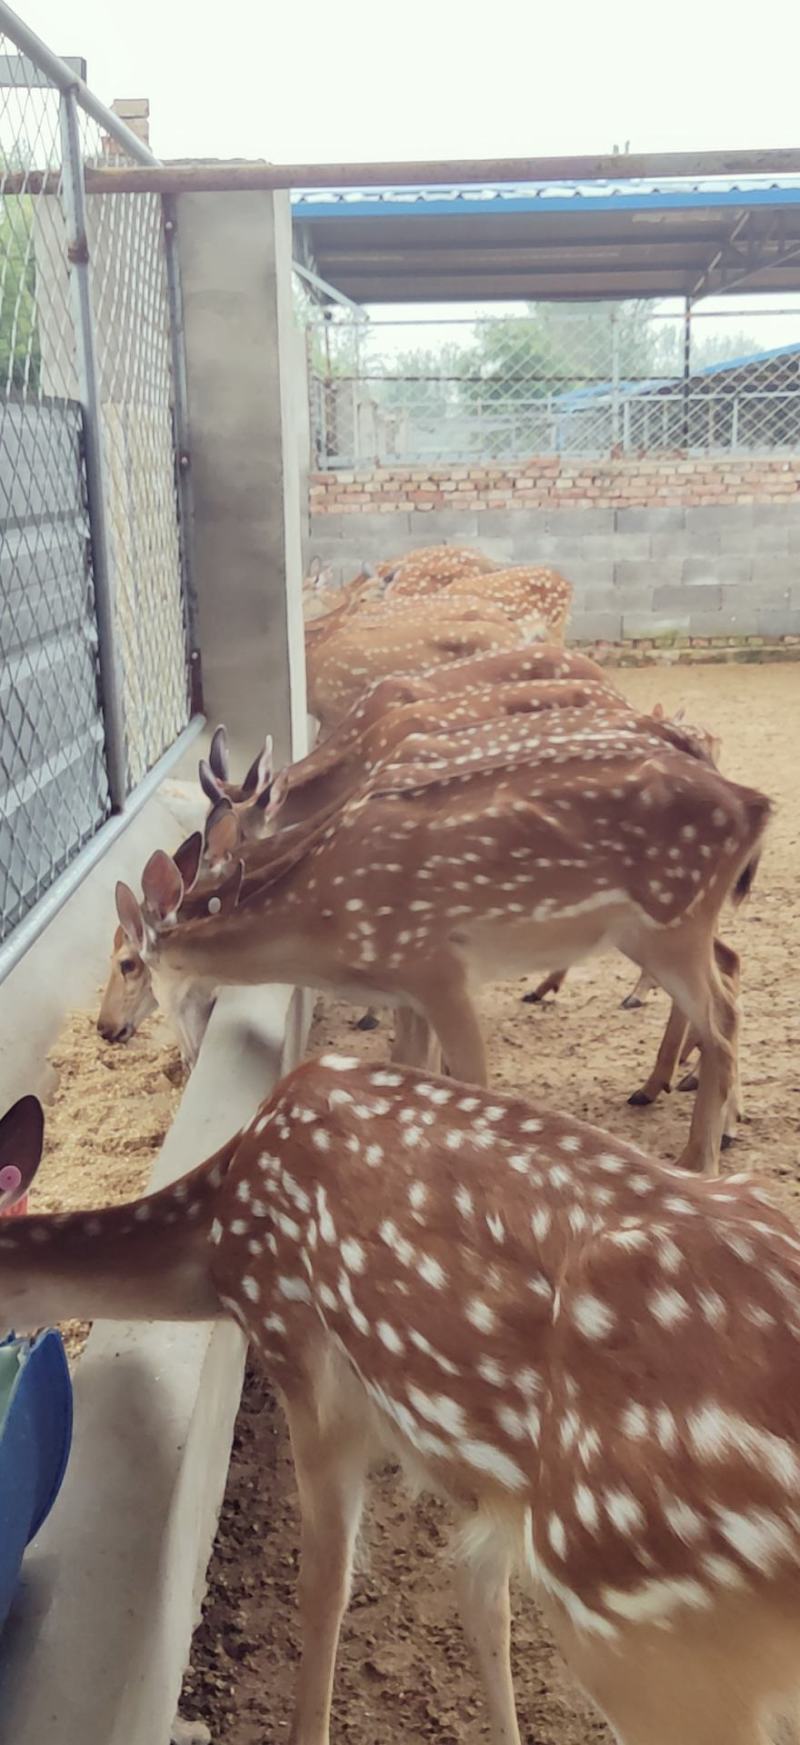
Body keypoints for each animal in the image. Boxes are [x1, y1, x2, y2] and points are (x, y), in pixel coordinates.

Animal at [4, 1057, 800, 1744]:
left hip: (645, 1633)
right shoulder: (482, 1475)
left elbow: (324, 1584)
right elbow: (481, 1600)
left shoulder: (303, 1358)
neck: (214, 1247)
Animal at [114, 713, 771, 1173]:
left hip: (673, 920)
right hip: (661, 929)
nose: (184, 1065)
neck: (328, 925)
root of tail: (756, 805)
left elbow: (474, 1083)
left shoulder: (435, 968)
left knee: (722, 1021)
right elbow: (409, 1074)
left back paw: (697, 1156)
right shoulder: (407, 988)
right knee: (727, 994)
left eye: (129, 963)